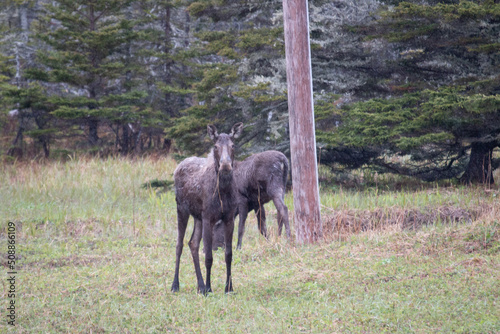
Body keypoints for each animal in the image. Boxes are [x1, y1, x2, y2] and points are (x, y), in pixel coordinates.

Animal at [171, 122, 243, 294]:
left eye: (233, 145)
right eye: (215, 146)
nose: (225, 165)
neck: (223, 191)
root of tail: (178, 166)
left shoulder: (229, 218)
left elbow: (228, 254)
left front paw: (228, 287)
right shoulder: (208, 218)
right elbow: (209, 256)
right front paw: (210, 288)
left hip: (197, 217)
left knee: (193, 243)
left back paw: (200, 285)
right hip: (182, 210)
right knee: (179, 244)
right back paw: (176, 285)